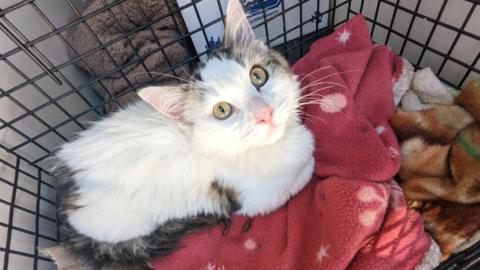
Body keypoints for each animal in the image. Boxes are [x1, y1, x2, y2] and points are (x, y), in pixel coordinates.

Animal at [52, 0, 316, 268]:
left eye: (258, 75)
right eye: (222, 110)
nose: (265, 113)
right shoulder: (253, 198)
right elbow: (295, 181)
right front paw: (307, 166)